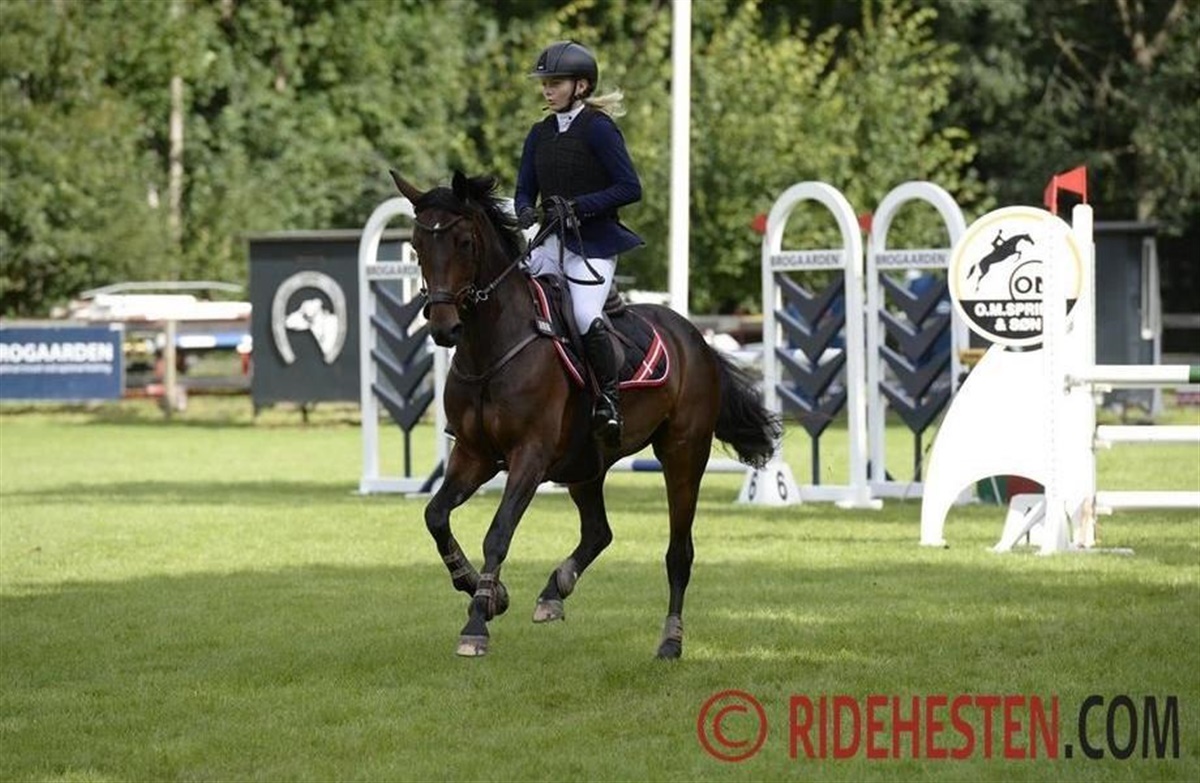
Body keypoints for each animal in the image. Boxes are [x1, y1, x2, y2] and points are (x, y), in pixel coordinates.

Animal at [389, 169, 781, 659]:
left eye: (463, 242)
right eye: (417, 245)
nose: (445, 328)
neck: (490, 346)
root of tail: (695, 338)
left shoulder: (530, 456)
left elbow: (498, 532)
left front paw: (478, 621)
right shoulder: (473, 454)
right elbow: (436, 516)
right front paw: (483, 590)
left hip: (683, 453)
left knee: (679, 551)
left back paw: (670, 641)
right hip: (585, 465)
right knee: (599, 531)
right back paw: (554, 591)